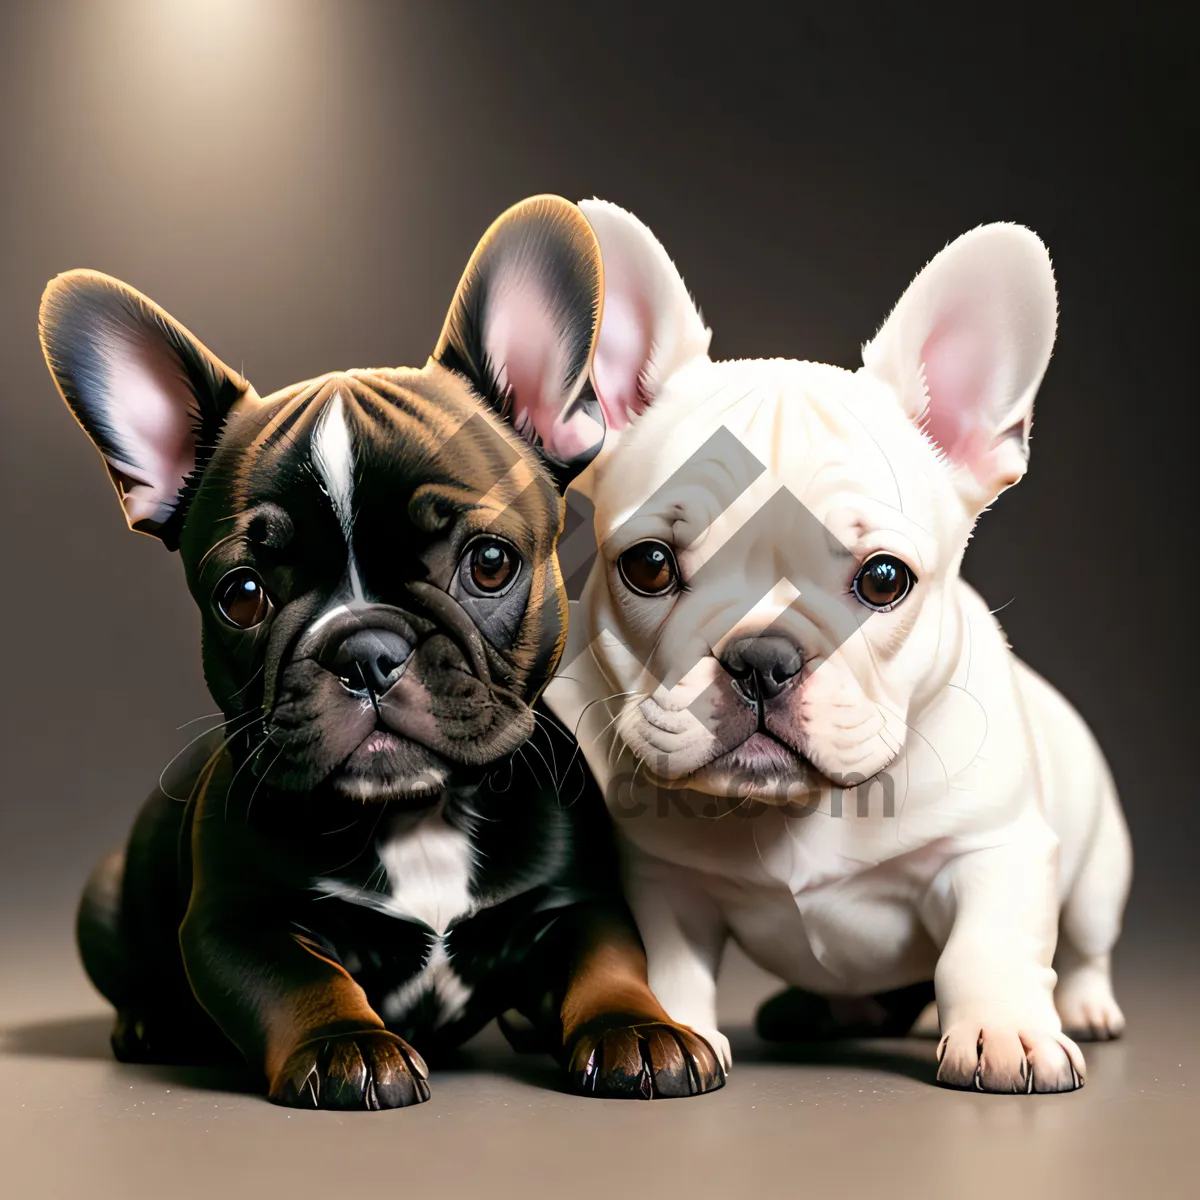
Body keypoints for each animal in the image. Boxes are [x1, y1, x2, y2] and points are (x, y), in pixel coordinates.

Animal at [42, 194, 720, 1104]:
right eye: (242, 595)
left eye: (490, 562)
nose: (365, 650)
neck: (417, 814)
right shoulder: (237, 923)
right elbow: (302, 979)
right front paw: (347, 1045)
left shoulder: (576, 902)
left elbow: (609, 962)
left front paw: (639, 1029)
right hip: (107, 899)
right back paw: (150, 1024)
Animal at [549, 201, 1128, 1094]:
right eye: (648, 566)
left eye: (885, 580)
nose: (762, 658)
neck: (804, 810)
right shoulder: (667, 884)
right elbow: (672, 964)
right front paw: (671, 1030)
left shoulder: (996, 849)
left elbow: (985, 949)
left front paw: (1006, 1032)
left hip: (1099, 870)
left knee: (1089, 943)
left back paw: (1089, 1008)